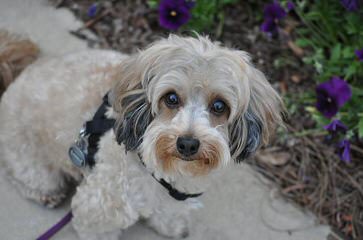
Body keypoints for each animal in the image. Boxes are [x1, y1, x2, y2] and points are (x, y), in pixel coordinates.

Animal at [0, 34, 284, 239]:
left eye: (218, 106)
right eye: (171, 98)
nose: (187, 143)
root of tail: (22, 72)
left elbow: (167, 210)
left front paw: (172, 224)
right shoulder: (97, 209)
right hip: (33, 163)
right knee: (27, 177)